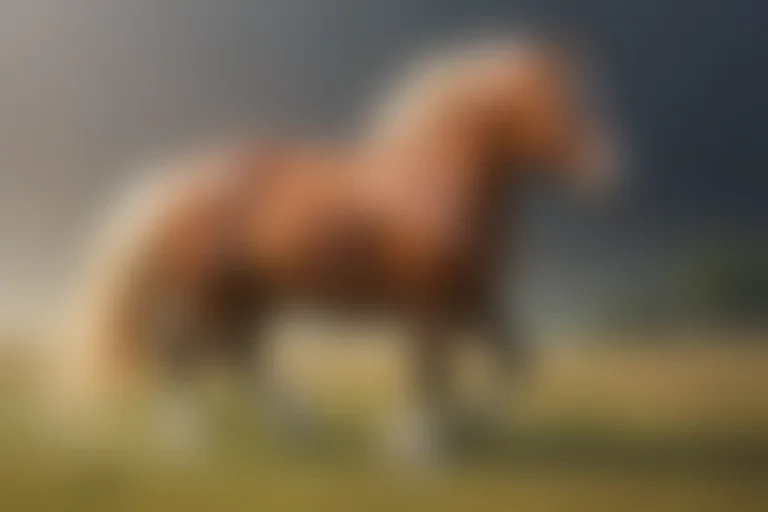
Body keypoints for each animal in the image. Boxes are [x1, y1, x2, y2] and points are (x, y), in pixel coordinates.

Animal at [53, 33, 618, 455]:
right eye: (554, 103)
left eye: (579, 99)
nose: (609, 169)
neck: (437, 182)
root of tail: (186, 180)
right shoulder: (430, 300)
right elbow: (430, 368)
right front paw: (417, 448)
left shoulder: (473, 296)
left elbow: (514, 363)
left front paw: (468, 429)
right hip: (211, 295)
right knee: (186, 351)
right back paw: (188, 439)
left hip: (250, 296)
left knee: (240, 354)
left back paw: (299, 426)